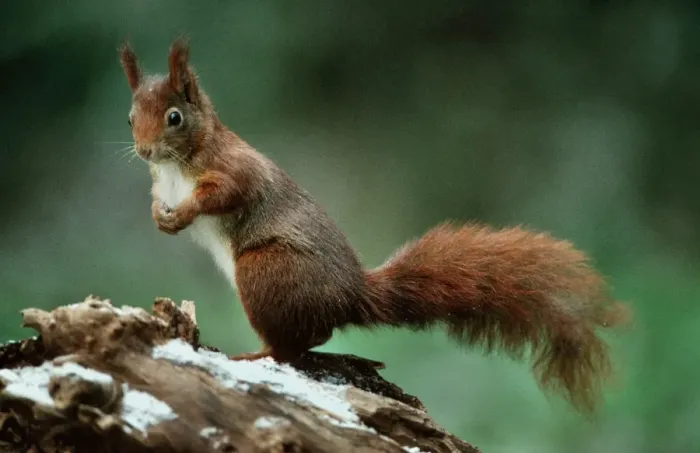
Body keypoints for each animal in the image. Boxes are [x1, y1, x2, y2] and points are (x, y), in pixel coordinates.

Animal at [119, 38, 629, 414]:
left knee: (292, 347)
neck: (175, 166)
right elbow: (155, 201)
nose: (143, 151)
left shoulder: (234, 170)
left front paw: (184, 215)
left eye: (174, 117)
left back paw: (256, 354)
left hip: (267, 269)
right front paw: (159, 218)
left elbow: (225, 194)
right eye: (129, 118)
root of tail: (352, 296)